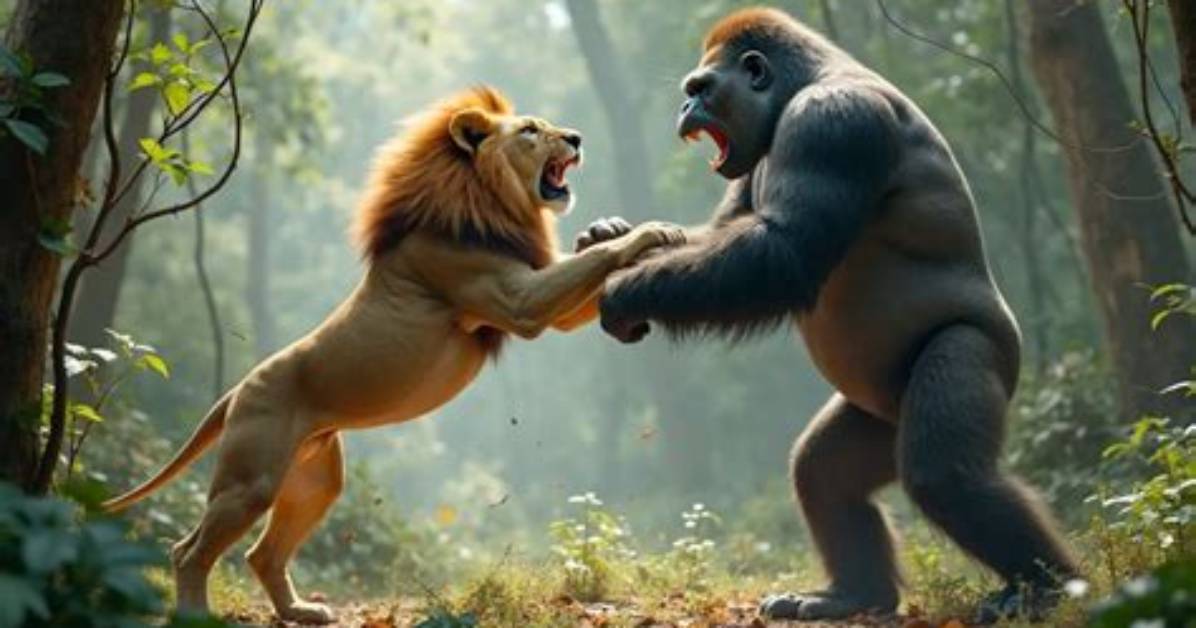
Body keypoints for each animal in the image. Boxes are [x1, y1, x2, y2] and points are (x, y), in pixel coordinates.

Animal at [101, 86, 684, 623]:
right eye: (530, 131)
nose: (577, 138)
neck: (488, 198)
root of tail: (239, 388)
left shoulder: (535, 300)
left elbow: (590, 266)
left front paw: (608, 228)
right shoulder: (512, 298)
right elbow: (596, 261)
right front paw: (651, 230)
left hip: (316, 483)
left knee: (261, 554)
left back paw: (300, 611)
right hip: (252, 480)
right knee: (188, 551)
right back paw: (195, 611)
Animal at [576, 8, 1078, 623]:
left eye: (701, 89)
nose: (684, 110)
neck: (804, 81)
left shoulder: (835, 121)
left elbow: (782, 251)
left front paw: (628, 289)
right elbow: (723, 234)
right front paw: (610, 237)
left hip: (982, 351)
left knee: (946, 478)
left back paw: (1045, 588)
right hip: (881, 412)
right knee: (824, 472)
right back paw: (854, 594)